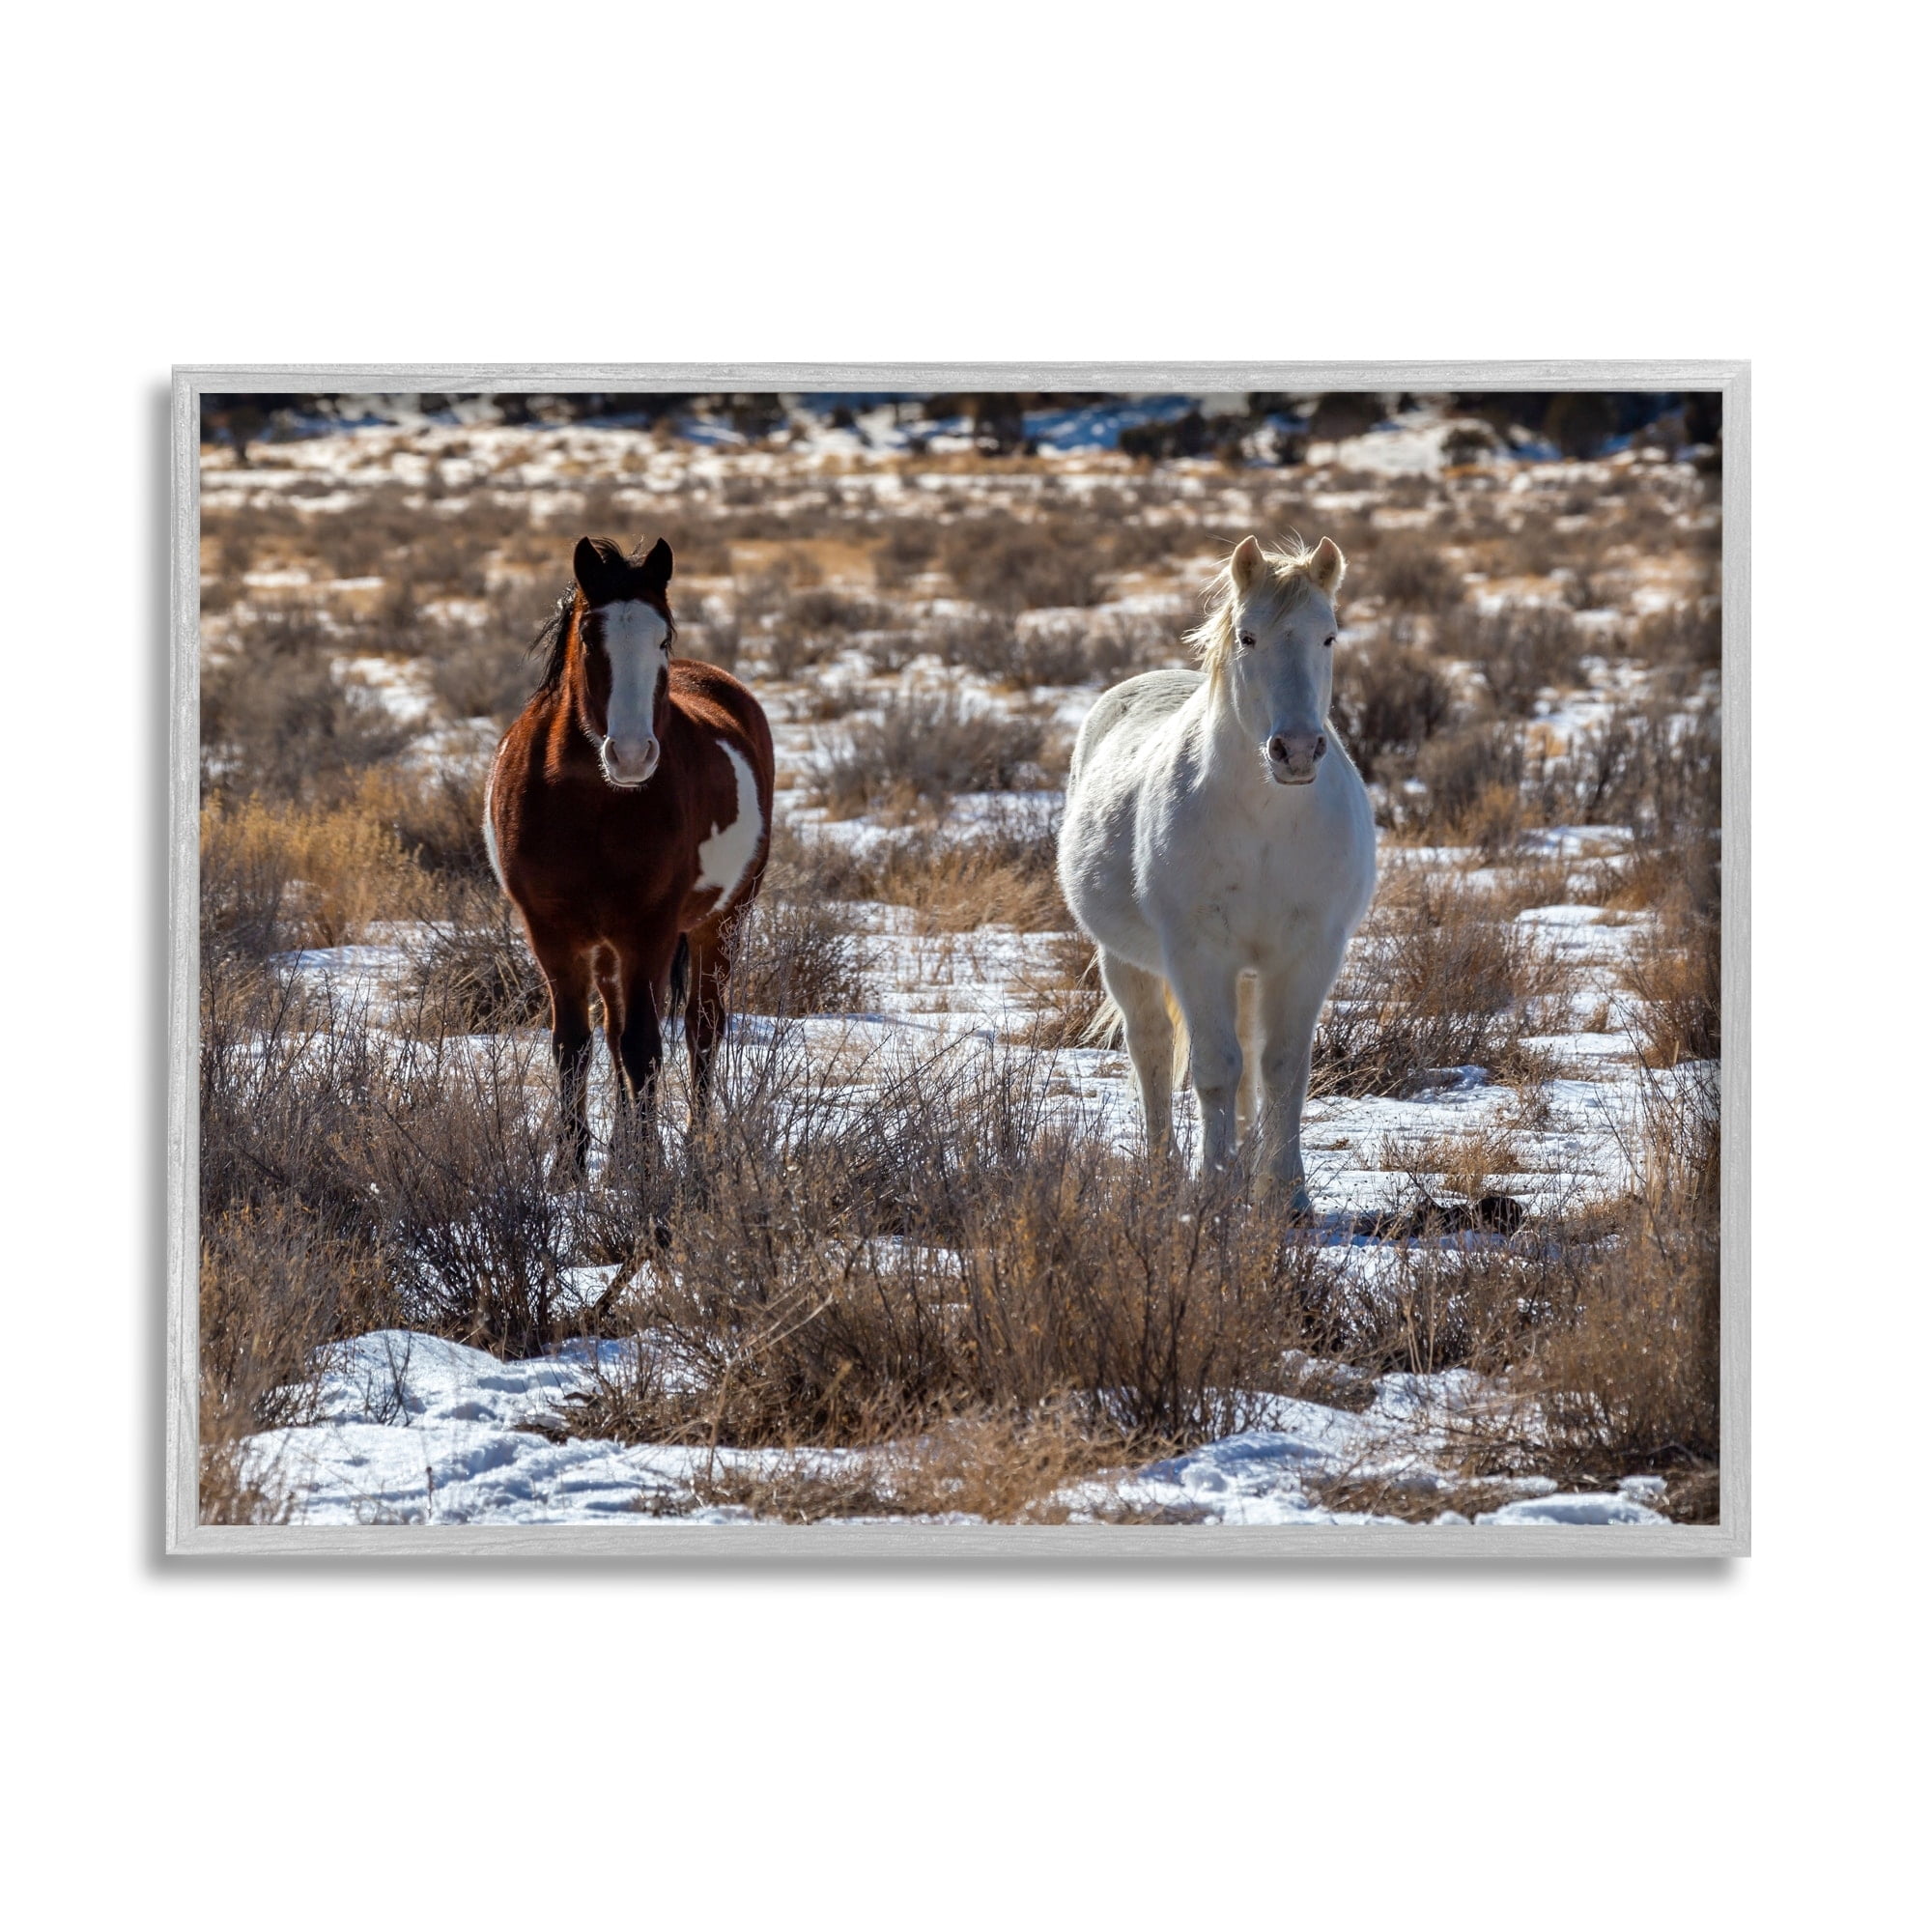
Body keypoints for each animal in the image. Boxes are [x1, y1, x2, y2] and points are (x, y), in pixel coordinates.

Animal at [486, 535, 776, 1169]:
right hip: (607, 947)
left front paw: (647, 1169)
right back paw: (622, 1149)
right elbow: (575, 1044)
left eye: (662, 637)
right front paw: (571, 1168)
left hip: (722, 921)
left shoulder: (651, 929)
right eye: (589, 636)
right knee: (616, 1027)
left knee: (701, 1029)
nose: (632, 754)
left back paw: (692, 1146)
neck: (592, 802)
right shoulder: (552, 932)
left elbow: (645, 1046)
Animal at [1056, 535, 1377, 1213]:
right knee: (1151, 1050)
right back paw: (1163, 1175)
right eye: (1249, 637)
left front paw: (1287, 1196)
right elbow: (1214, 1069)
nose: (1297, 750)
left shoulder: (1308, 954)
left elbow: (1282, 1067)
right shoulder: (1199, 955)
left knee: (1251, 1059)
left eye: (1329, 636)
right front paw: (1215, 1188)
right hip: (1125, 962)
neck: (1265, 821)